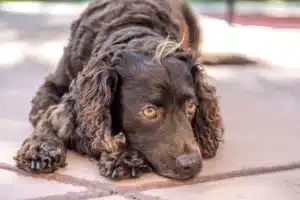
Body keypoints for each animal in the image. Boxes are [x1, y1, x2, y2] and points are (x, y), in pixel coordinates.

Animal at [13, 0, 225, 180]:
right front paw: (40, 148)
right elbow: (49, 118)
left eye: (191, 107)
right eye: (149, 111)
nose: (192, 164)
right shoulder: (51, 89)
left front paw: (124, 156)